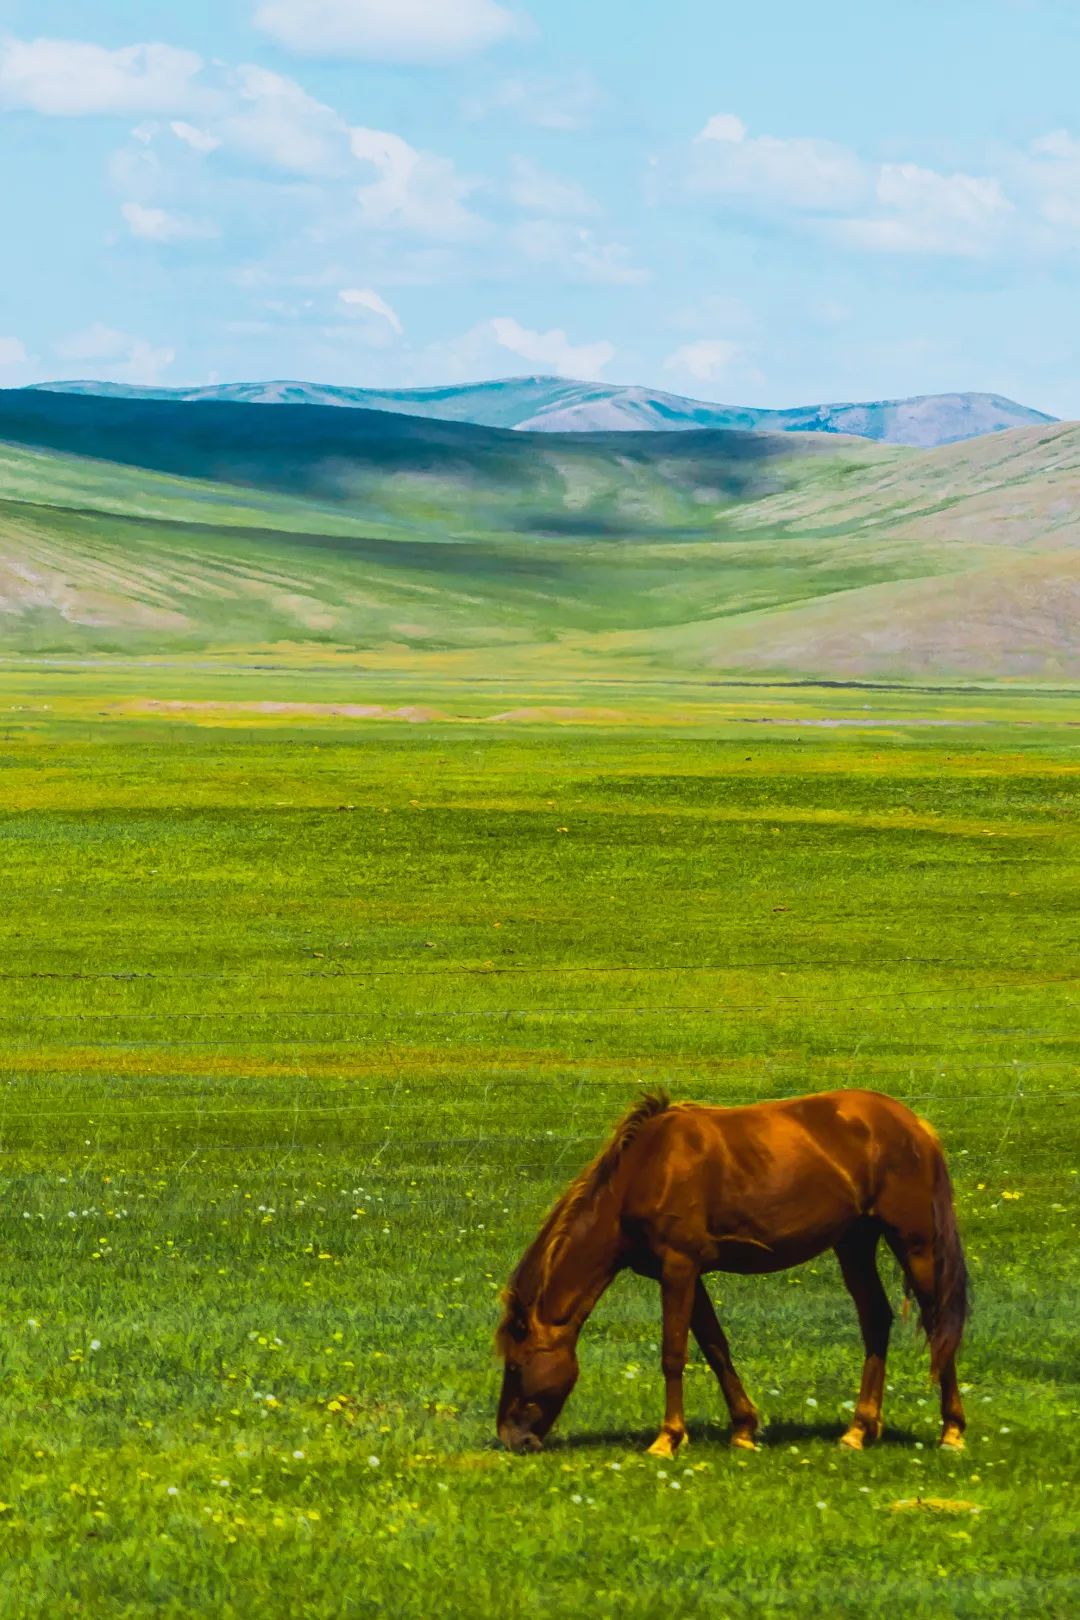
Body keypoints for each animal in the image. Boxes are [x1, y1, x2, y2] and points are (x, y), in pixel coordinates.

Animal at [495, 1088, 965, 1458]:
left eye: (516, 1366)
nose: (511, 1439)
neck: (645, 1169)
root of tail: (916, 1125)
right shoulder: (685, 1272)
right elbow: (716, 1348)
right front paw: (743, 1429)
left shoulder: (679, 1266)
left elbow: (674, 1354)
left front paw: (667, 1439)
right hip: (854, 1243)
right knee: (876, 1319)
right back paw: (858, 1430)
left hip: (914, 1242)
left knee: (937, 1323)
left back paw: (951, 1430)